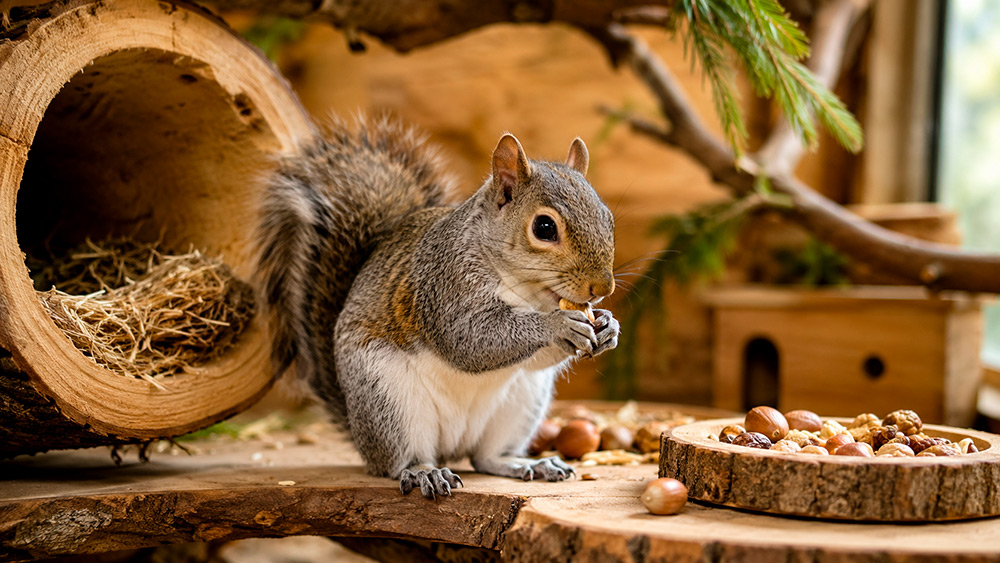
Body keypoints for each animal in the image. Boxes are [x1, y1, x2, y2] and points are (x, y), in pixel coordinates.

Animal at [256, 115, 620, 499]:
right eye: (545, 227)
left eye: (608, 218)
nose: (602, 288)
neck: (528, 292)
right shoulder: (444, 284)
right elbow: (469, 340)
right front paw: (557, 325)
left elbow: (535, 357)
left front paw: (609, 326)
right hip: (389, 402)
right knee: (401, 461)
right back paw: (424, 473)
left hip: (521, 403)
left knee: (486, 458)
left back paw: (527, 463)